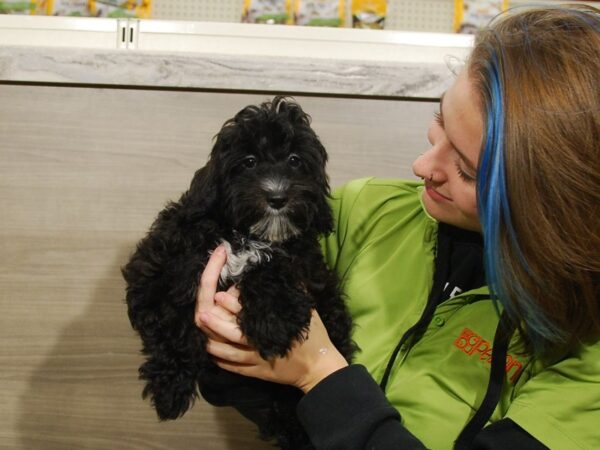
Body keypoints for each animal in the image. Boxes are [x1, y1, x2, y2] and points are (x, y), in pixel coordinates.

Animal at [122, 96, 356, 448]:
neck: (247, 235)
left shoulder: (313, 275)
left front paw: (272, 322)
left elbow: (276, 266)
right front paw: (169, 390)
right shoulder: (157, 267)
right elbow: (167, 317)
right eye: (248, 162)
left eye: (295, 160)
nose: (277, 197)